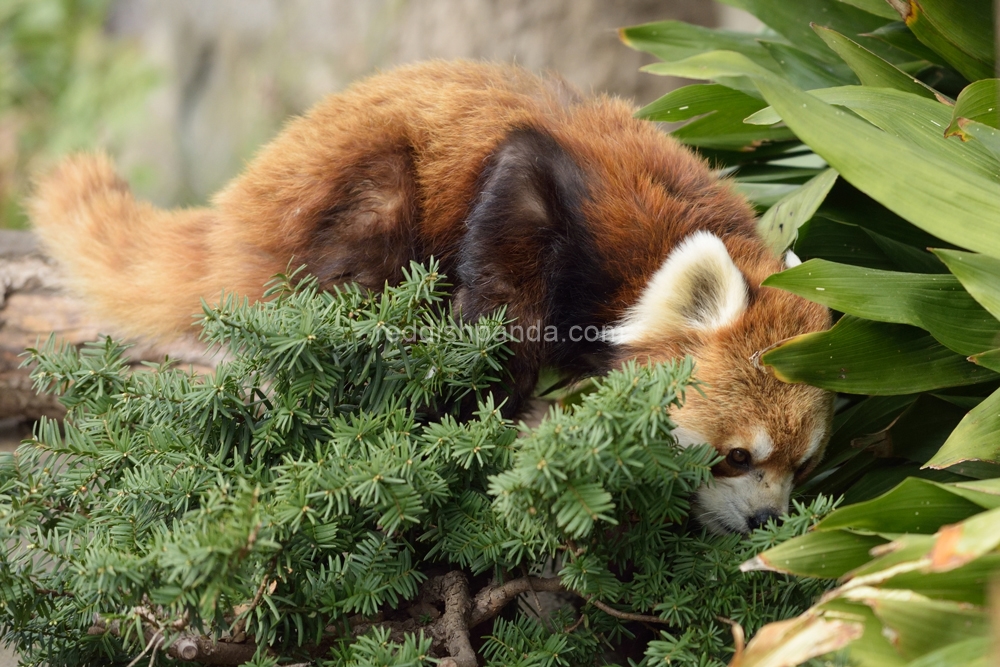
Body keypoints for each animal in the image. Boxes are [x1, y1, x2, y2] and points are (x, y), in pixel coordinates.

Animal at [29, 60, 828, 536]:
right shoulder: (559, 192)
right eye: (734, 456)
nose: (769, 521)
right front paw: (490, 417)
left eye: (803, 466)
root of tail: (240, 203)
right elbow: (504, 281)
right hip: (356, 193)